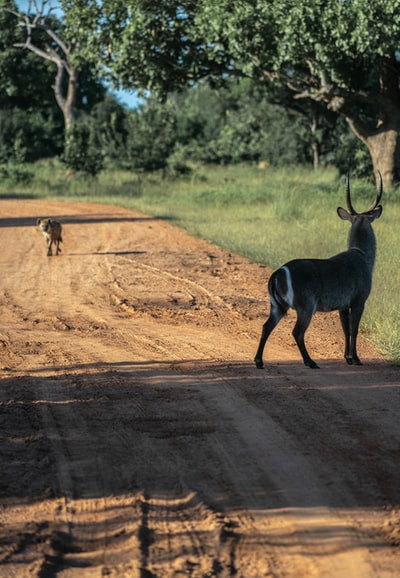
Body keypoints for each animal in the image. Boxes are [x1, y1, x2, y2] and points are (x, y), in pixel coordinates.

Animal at [255, 172, 382, 368]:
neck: (363, 256)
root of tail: (278, 273)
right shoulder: (359, 300)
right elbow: (354, 329)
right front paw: (356, 358)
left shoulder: (342, 305)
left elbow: (345, 329)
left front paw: (348, 358)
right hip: (306, 305)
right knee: (297, 332)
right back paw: (310, 362)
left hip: (276, 305)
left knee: (266, 326)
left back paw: (259, 361)